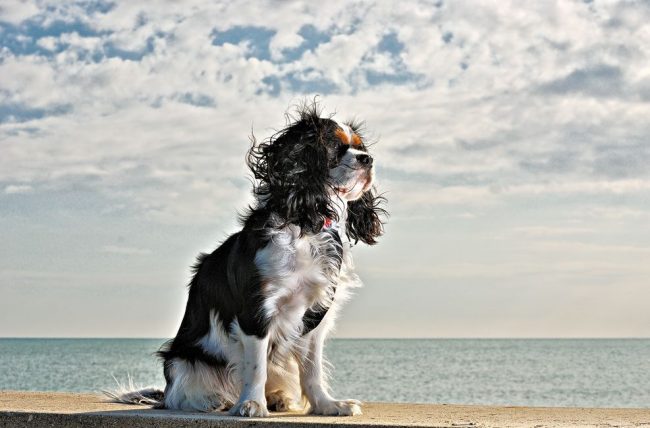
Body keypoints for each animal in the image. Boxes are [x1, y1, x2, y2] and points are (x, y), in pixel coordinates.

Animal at [105, 102, 380, 416]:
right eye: (334, 146)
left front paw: (327, 405)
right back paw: (213, 399)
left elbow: (312, 370)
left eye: (360, 147)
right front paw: (251, 403)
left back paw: (276, 397)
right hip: (184, 359)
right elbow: (256, 366)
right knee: (179, 393)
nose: (368, 159)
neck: (307, 224)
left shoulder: (314, 317)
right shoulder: (256, 310)